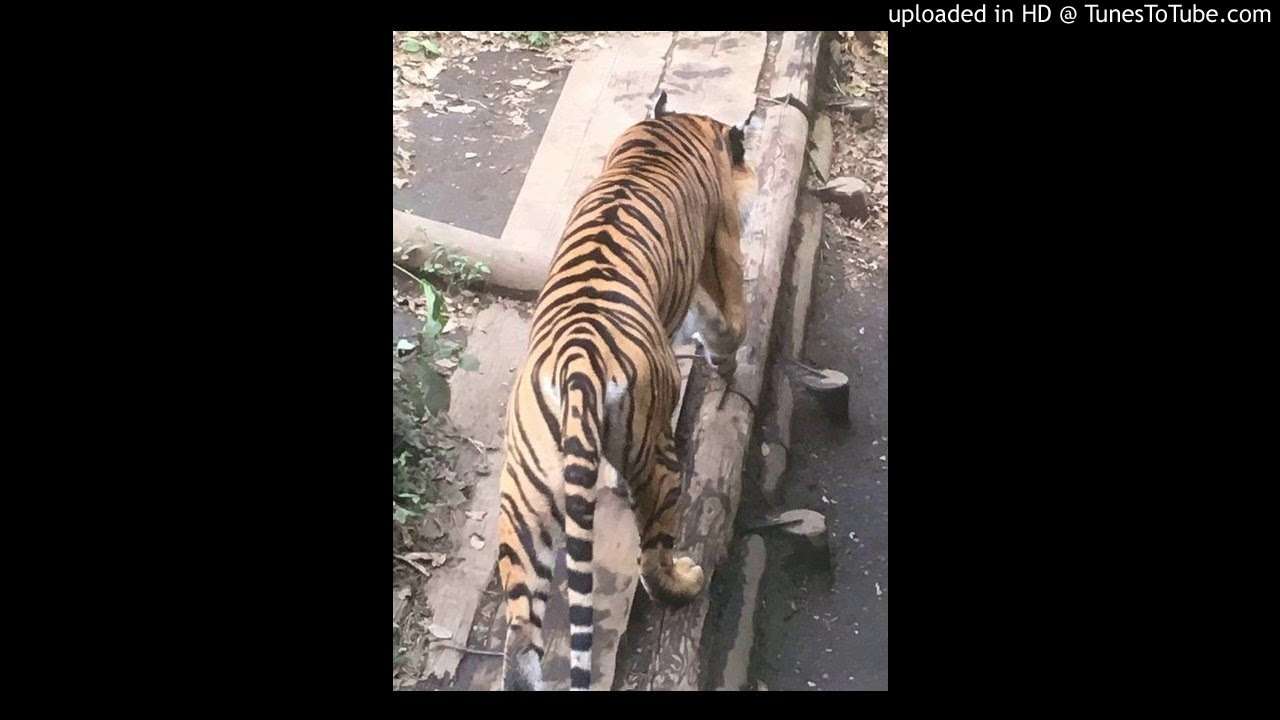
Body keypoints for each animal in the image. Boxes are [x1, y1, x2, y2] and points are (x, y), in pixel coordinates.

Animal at [495, 90, 757, 691]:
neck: (676, 129)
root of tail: (575, 367)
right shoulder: (722, 248)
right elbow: (729, 322)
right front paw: (727, 361)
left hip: (525, 500)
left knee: (521, 633)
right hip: (659, 461)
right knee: (652, 557)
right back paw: (685, 582)